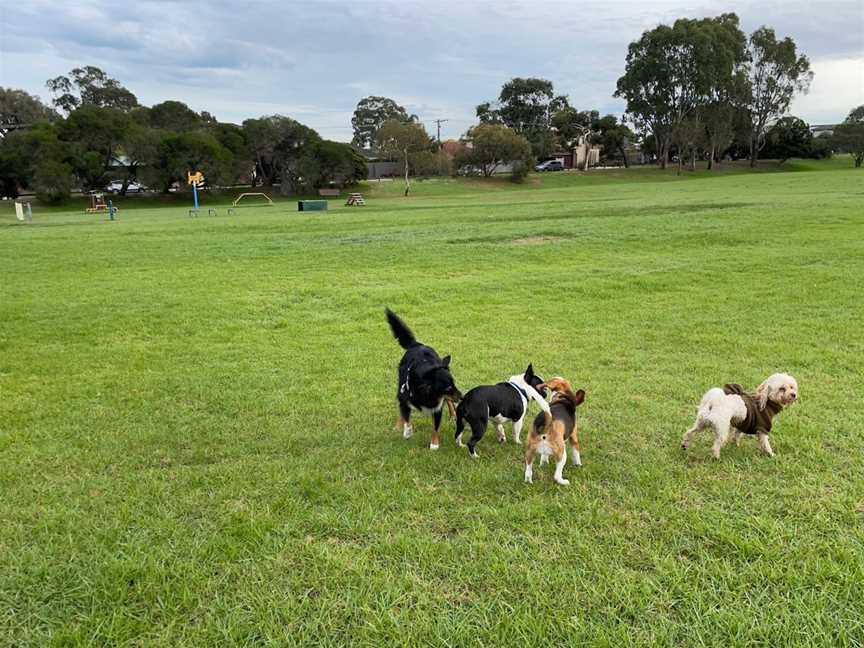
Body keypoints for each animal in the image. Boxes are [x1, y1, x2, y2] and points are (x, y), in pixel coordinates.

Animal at [386, 308, 462, 450]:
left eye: (454, 384)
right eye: (448, 387)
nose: (462, 396)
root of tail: (418, 344)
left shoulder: (437, 407)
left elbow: (435, 427)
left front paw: (434, 444)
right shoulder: (405, 398)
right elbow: (406, 418)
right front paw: (407, 432)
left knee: (449, 402)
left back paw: (453, 415)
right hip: (400, 389)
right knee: (402, 411)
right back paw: (398, 425)